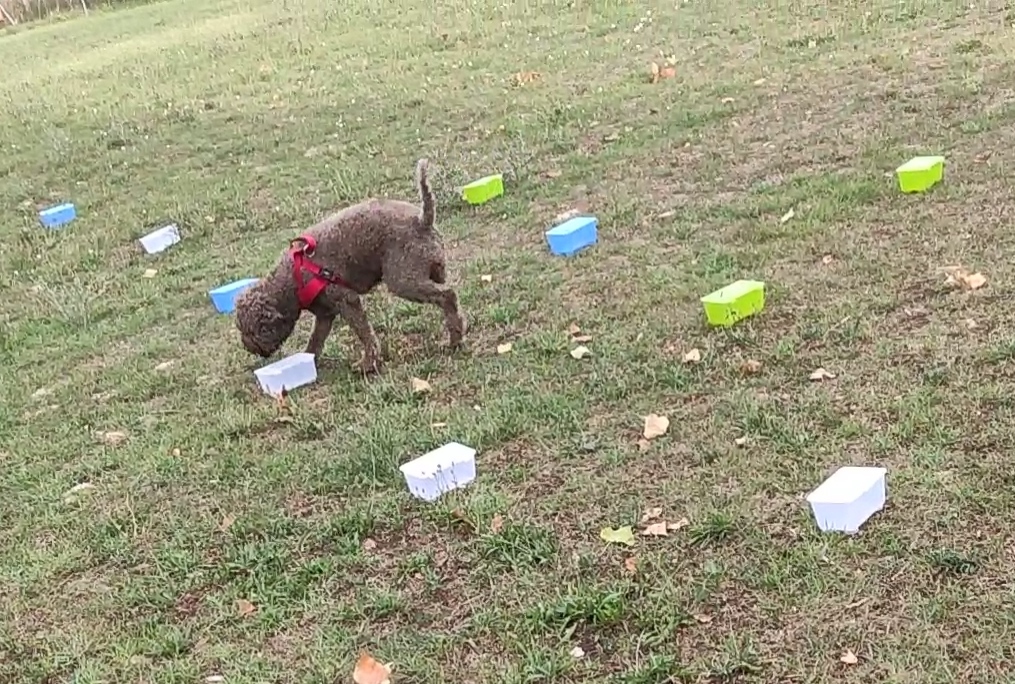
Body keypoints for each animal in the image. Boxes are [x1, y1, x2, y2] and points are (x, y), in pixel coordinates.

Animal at [233, 158, 464, 373]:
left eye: (253, 331)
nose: (248, 347)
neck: (294, 276)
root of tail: (422, 220)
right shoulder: (325, 314)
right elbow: (315, 341)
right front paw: (309, 360)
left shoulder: (346, 300)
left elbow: (364, 333)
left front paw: (368, 363)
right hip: (433, 269)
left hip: (403, 280)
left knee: (448, 295)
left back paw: (454, 339)